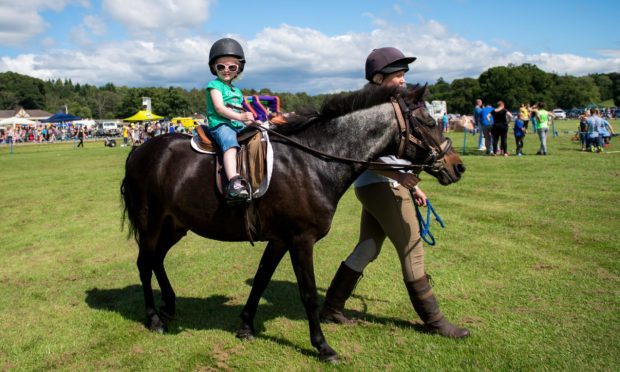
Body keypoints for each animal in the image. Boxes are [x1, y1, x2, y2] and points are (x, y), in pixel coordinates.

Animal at [121, 83, 462, 362]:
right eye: (428, 121)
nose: (457, 166)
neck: (314, 162)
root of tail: (140, 151)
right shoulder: (301, 239)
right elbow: (308, 294)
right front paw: (323, 347)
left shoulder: (279, 239)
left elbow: (261, 278)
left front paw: (246, 326)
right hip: (151, 223)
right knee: (144, 263)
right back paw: (154, 318)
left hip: (175, 226)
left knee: (156, 260)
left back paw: (169, 306)